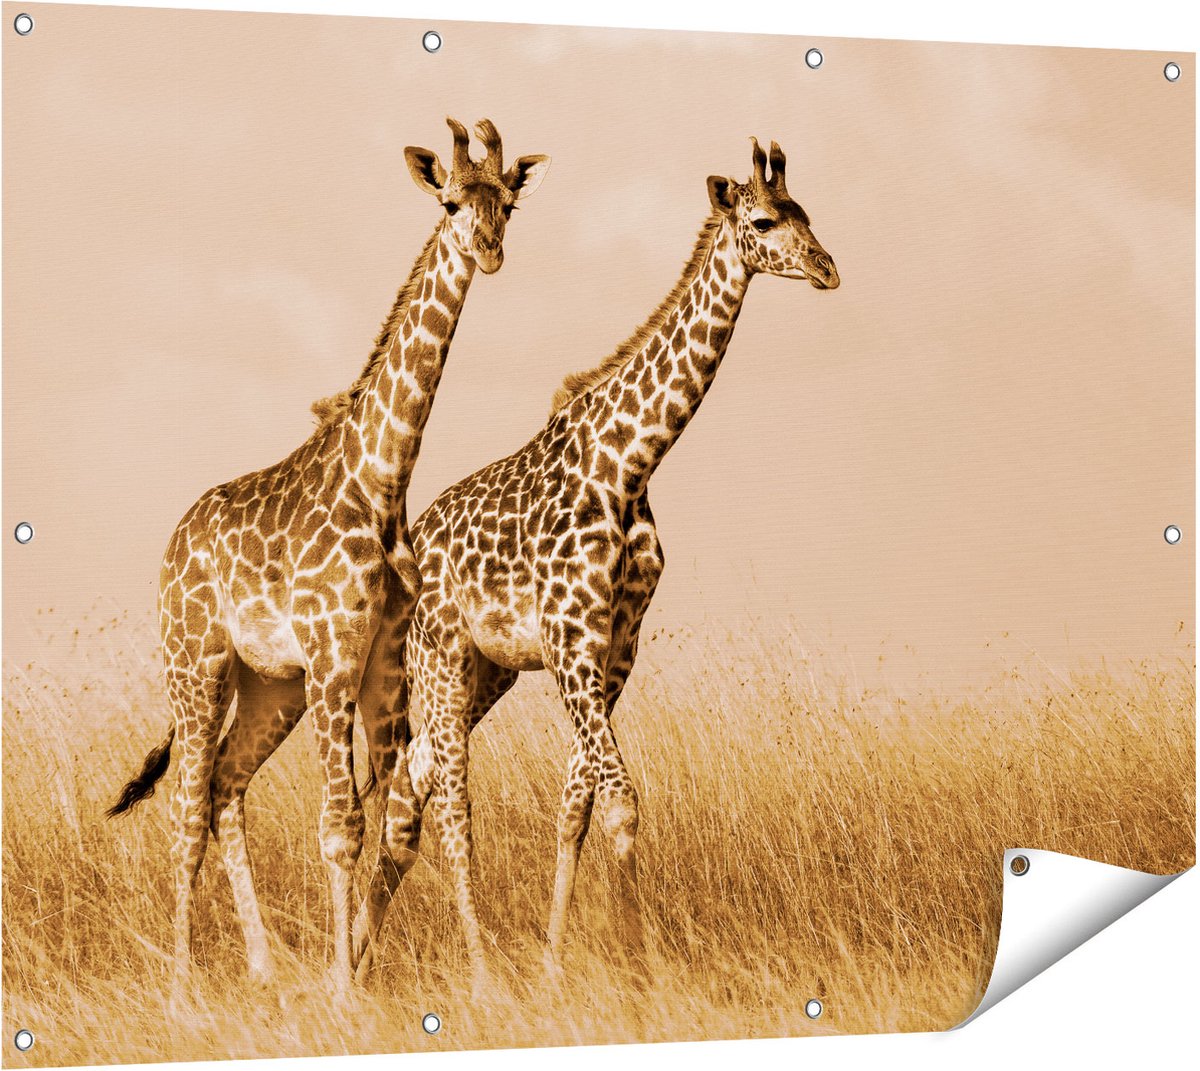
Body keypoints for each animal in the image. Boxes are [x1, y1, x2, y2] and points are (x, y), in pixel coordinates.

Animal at [106, 117, 551, 997]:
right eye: (450, 202)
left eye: (508, 202)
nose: (488, 250)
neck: (380, 479)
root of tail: (173, 543)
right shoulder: (334, 655)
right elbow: (339, 824)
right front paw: (343, 986)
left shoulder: (378, 664)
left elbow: (376, 817)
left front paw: (347, 971)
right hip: (196, 661)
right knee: (186, 807)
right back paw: (182, 985)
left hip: (271, 684)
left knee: (225, 787)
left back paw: (261, 965)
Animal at [352, 137, 840, 986]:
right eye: (763, 220)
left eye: (807, 212)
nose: (827, 267)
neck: (631, 462)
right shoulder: (571, 640)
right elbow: (620, 798)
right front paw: (641, 963)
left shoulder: (615, 646)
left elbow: (576, 802)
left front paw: (555, 962)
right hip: (439, 659)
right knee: (447, 800)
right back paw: (477, 970)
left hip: (488, 671)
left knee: (411, 792)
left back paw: (353, 964)